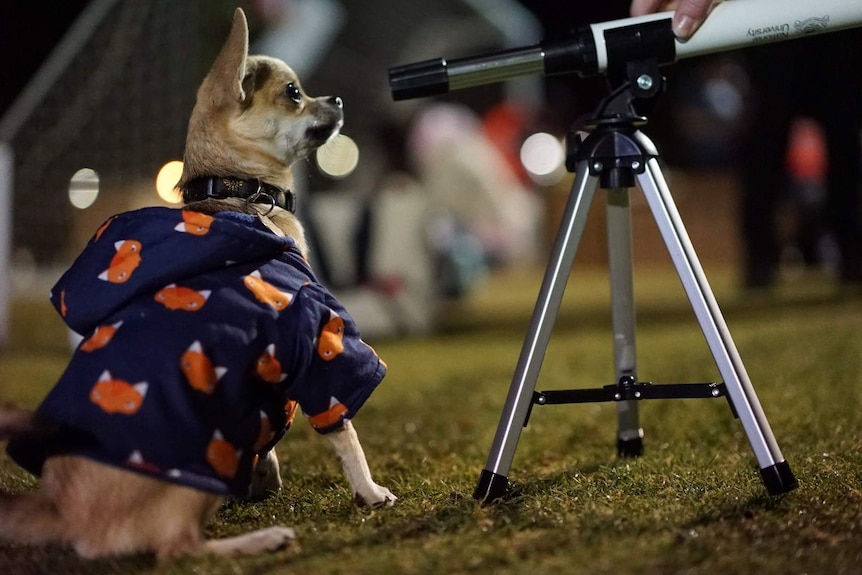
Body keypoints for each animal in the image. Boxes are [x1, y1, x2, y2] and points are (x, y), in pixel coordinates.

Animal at [0, 6, 396, 560]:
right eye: (294, 93)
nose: (337, 99)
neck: (241, 195)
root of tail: (57, 509)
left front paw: (264, 477)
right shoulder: (321, 339)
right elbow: (346, 432)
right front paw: (370, 492)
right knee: (178, 549)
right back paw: (261, 539)